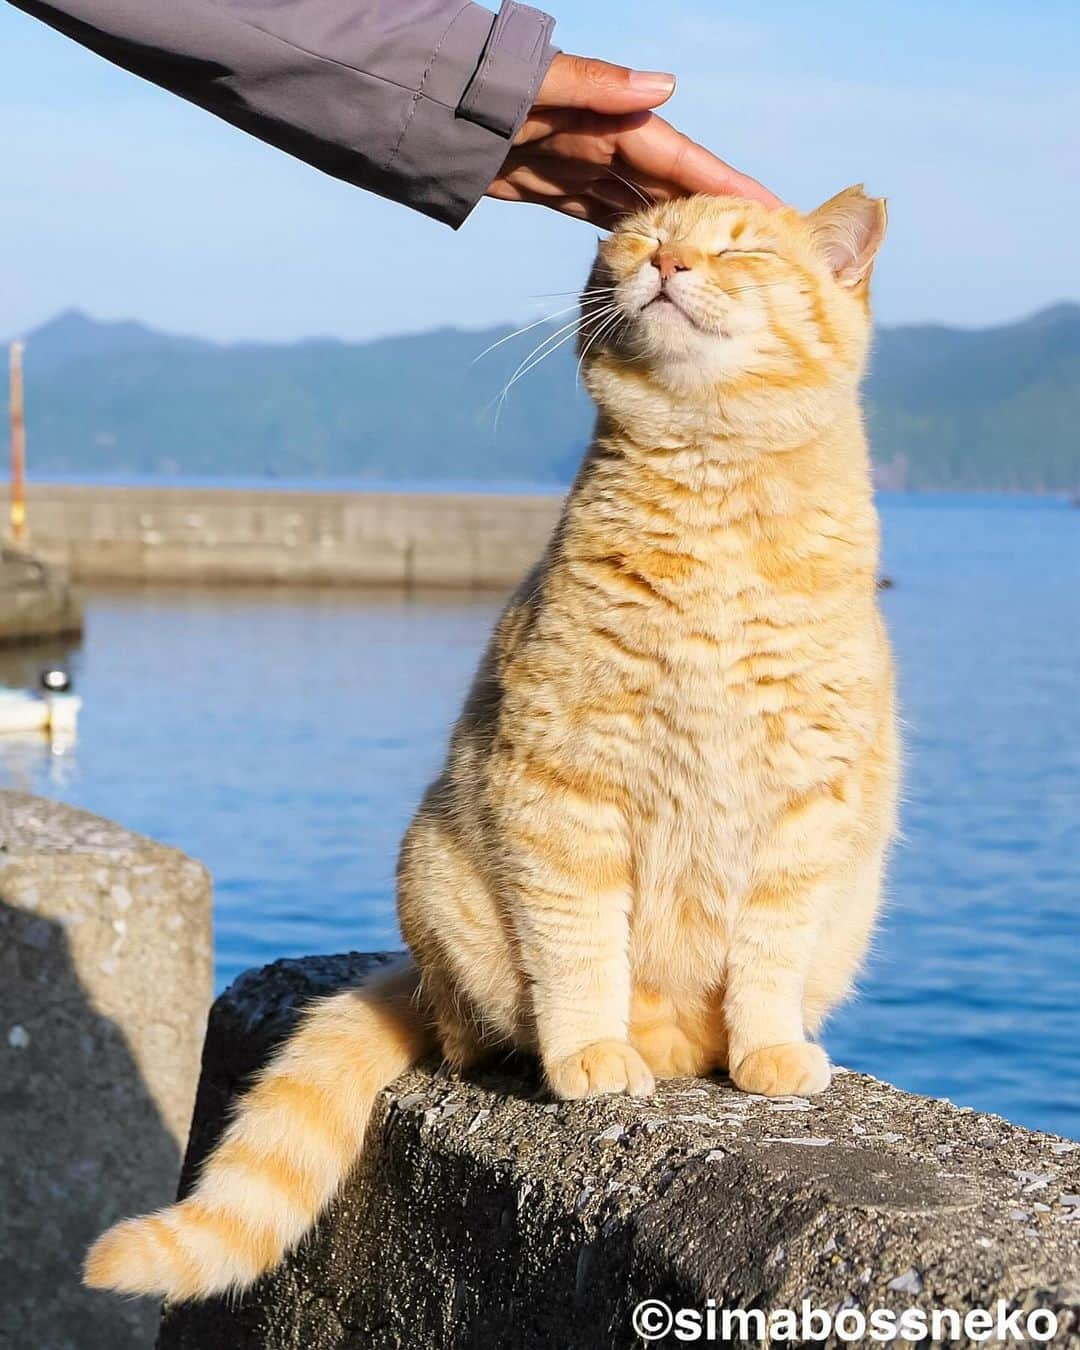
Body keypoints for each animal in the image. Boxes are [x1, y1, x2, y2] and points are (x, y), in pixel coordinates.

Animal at [84, 184, 896, 1301]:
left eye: (739, 251)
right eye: (639, 240)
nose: (670, 264)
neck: (714, 497)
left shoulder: (809, 802)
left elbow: (767, 956)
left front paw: (768, 1049)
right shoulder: (565, 781)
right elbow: (578, 944)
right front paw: (590, 1049)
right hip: (437, 880)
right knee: (466, 1020)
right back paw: (574, 1043)